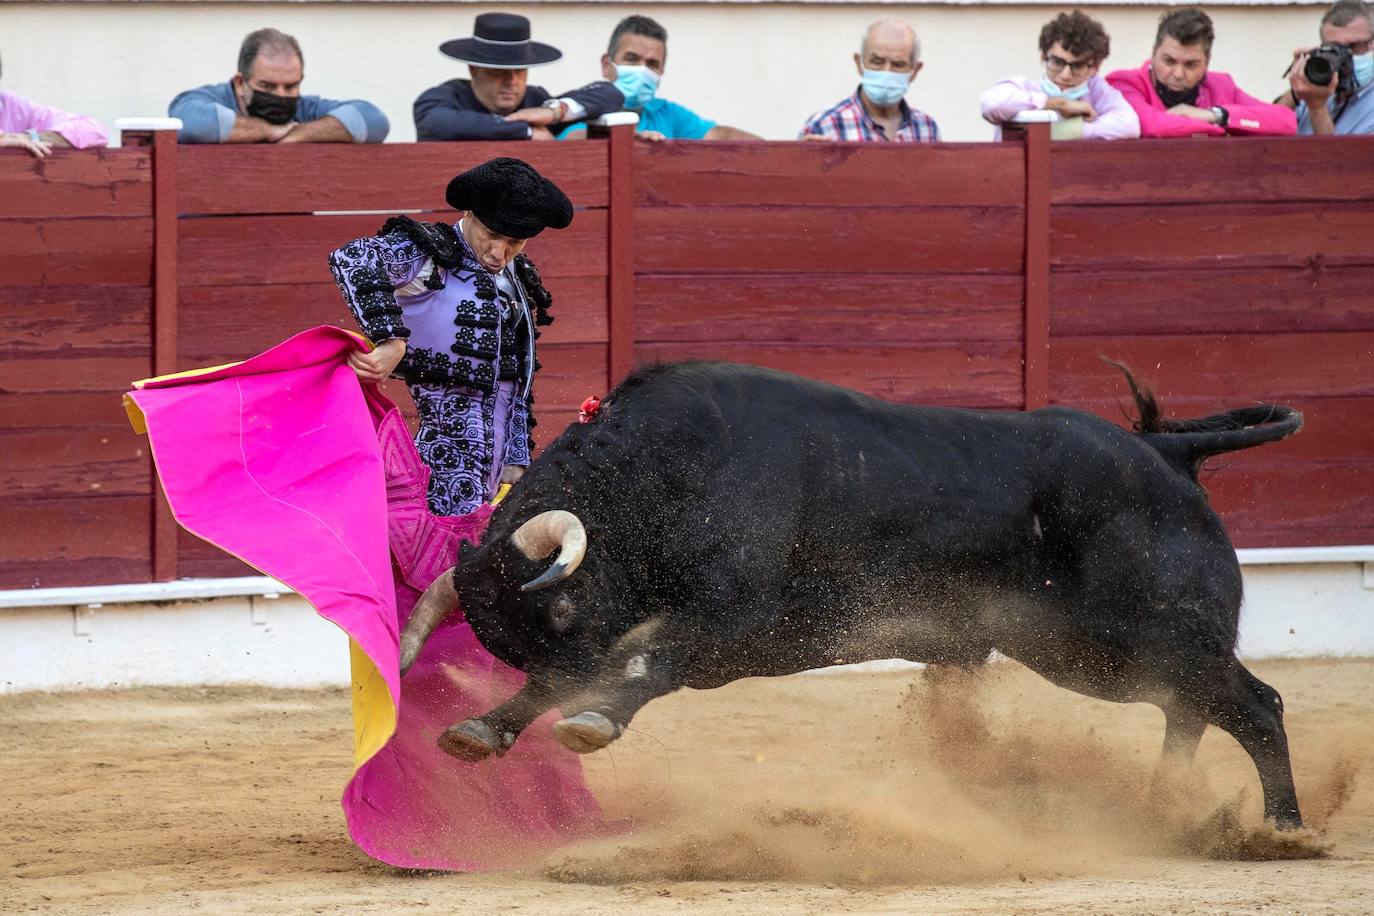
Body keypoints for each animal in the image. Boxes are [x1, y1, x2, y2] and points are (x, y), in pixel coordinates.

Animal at [401, 359, 1308, 829]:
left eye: (561, 606)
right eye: (508, 638)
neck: (664, 475)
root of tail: (1166, 454)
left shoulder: (729, 619)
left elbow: (649, 665)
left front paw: (590, 722)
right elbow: (569, 680)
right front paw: (486, 728)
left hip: (1143, 635)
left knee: (1253, 704)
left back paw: (1281, 828)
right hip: (1085, 652)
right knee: (1188, 706)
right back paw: (1163, 809)